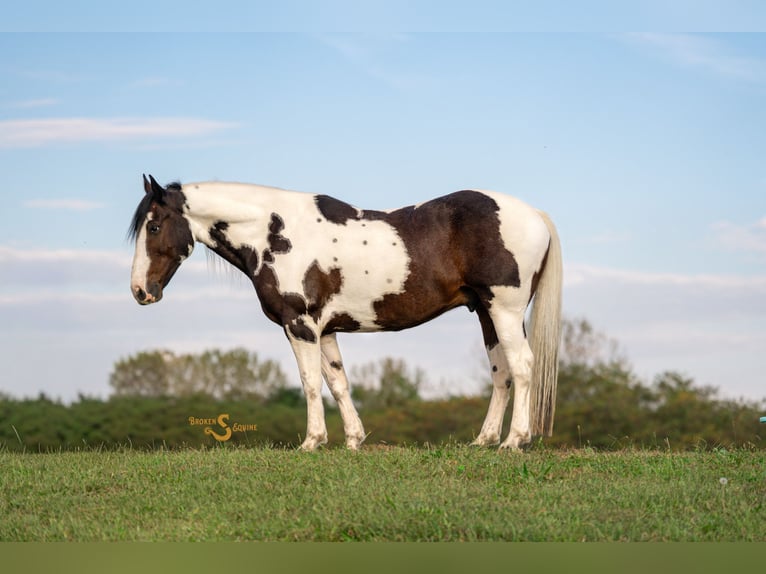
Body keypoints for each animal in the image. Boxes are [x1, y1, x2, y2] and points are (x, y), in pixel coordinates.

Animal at [129, 175, 562, 451]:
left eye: (153, 227)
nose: (139, 291)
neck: (274, 232)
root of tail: (535, 214)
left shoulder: (299, 325)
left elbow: (309, 383)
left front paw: (312, 442)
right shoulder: (325, 330)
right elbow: (338, 383)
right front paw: (354, 440)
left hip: (504, 311)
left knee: (522, 366)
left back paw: (514, 441)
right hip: (486, 313)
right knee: (502, 373)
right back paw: (484, 440)